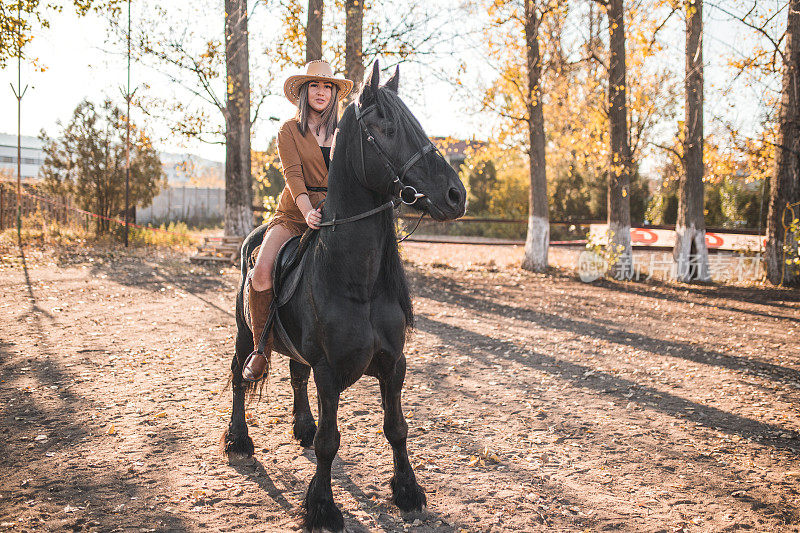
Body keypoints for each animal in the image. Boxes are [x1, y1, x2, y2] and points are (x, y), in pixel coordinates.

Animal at [222, 61, 466, 528]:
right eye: (387, 129)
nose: (455, 195)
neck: (357, 283)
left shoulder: (393, 365)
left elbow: (397, 428)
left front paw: (407, 491)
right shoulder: (329, 372)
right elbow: (329, 442)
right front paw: (321, 507)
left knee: (295, 374)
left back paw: (301, 425)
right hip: (245, 334)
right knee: (240, 377)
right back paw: (238, 440)